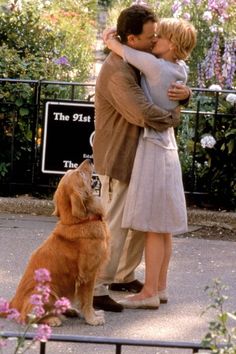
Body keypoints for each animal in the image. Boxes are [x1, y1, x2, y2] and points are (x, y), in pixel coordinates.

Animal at [1, 160, 109, 326]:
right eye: (80, 174)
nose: (90, 160)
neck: (78, 222)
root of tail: (13, 305)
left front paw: (93, 314)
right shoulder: (88, 275)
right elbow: (88, 300)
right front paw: (92, 319)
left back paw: (68, 310)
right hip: (48, 290)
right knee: (28, 316)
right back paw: (52, 319)